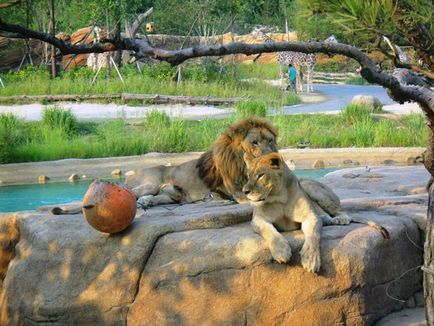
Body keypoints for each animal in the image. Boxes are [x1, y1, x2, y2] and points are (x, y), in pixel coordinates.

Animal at [242, 153, 388, 272]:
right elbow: (269, 232)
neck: (280, 198)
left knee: (343, 212)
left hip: (310, 186)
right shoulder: (258, 219)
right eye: (248, 176)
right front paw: (281, 251)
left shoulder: (310, 216)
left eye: (261, 175)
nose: (245, 191)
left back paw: (339, 219)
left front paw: (311, 260)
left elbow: (313, 235)